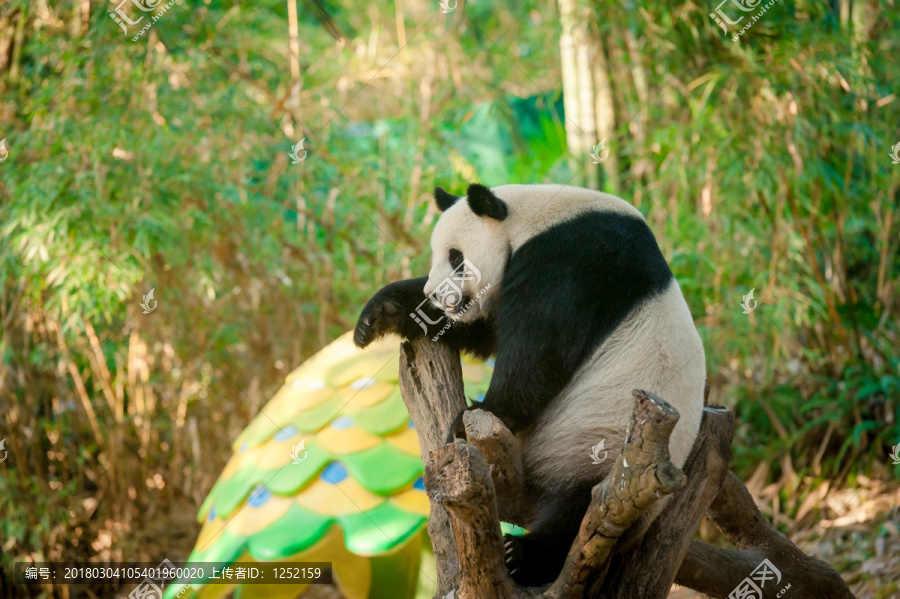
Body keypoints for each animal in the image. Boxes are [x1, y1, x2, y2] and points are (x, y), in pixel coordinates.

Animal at [356, 183, 708, 584]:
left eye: (457, 258)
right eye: (436, 256)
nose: (435, 295)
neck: (529, 217)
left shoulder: (573, 260)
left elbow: (539, 347)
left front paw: (476, 415)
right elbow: (487, 330)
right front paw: (382, 313)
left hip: (610, 457)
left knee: (581, 509)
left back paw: (523, 556)